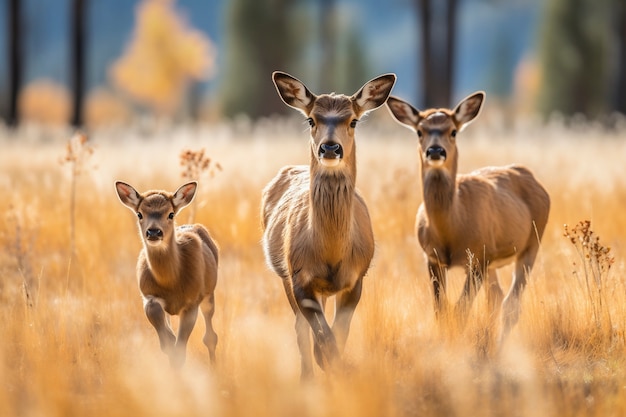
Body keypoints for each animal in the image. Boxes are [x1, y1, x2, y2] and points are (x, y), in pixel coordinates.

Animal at [115, 180, 219, 366]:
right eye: (139, 214)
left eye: (170, 214)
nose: (154, 232)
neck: (171, 282)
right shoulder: (149, 296)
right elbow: (168, 343)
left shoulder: (191, 302)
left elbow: (181, 349)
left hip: (209, 293)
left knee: (210, 336)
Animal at [262, 70, 394, 376]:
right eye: (312, 119)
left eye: (353, 120)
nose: (330, 147)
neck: (331, 255)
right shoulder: (299, 276)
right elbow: (322, 337)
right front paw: (324, 363)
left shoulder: (356, 279)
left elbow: (339, 336)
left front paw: (336, 368)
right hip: (284, 276)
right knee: (300, 329)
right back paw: (306, 376)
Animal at [382, 91, 548, 342]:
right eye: (420, 131)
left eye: (453, 131)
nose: (435, 151)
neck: (450, 229)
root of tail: (532, 177)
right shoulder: (432, 257)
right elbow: (441, 310)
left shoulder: (478, 256)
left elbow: (461, 310)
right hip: (492, 261)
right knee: (496, 297)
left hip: (531, 245)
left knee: (511, 303)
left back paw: (500, 345)